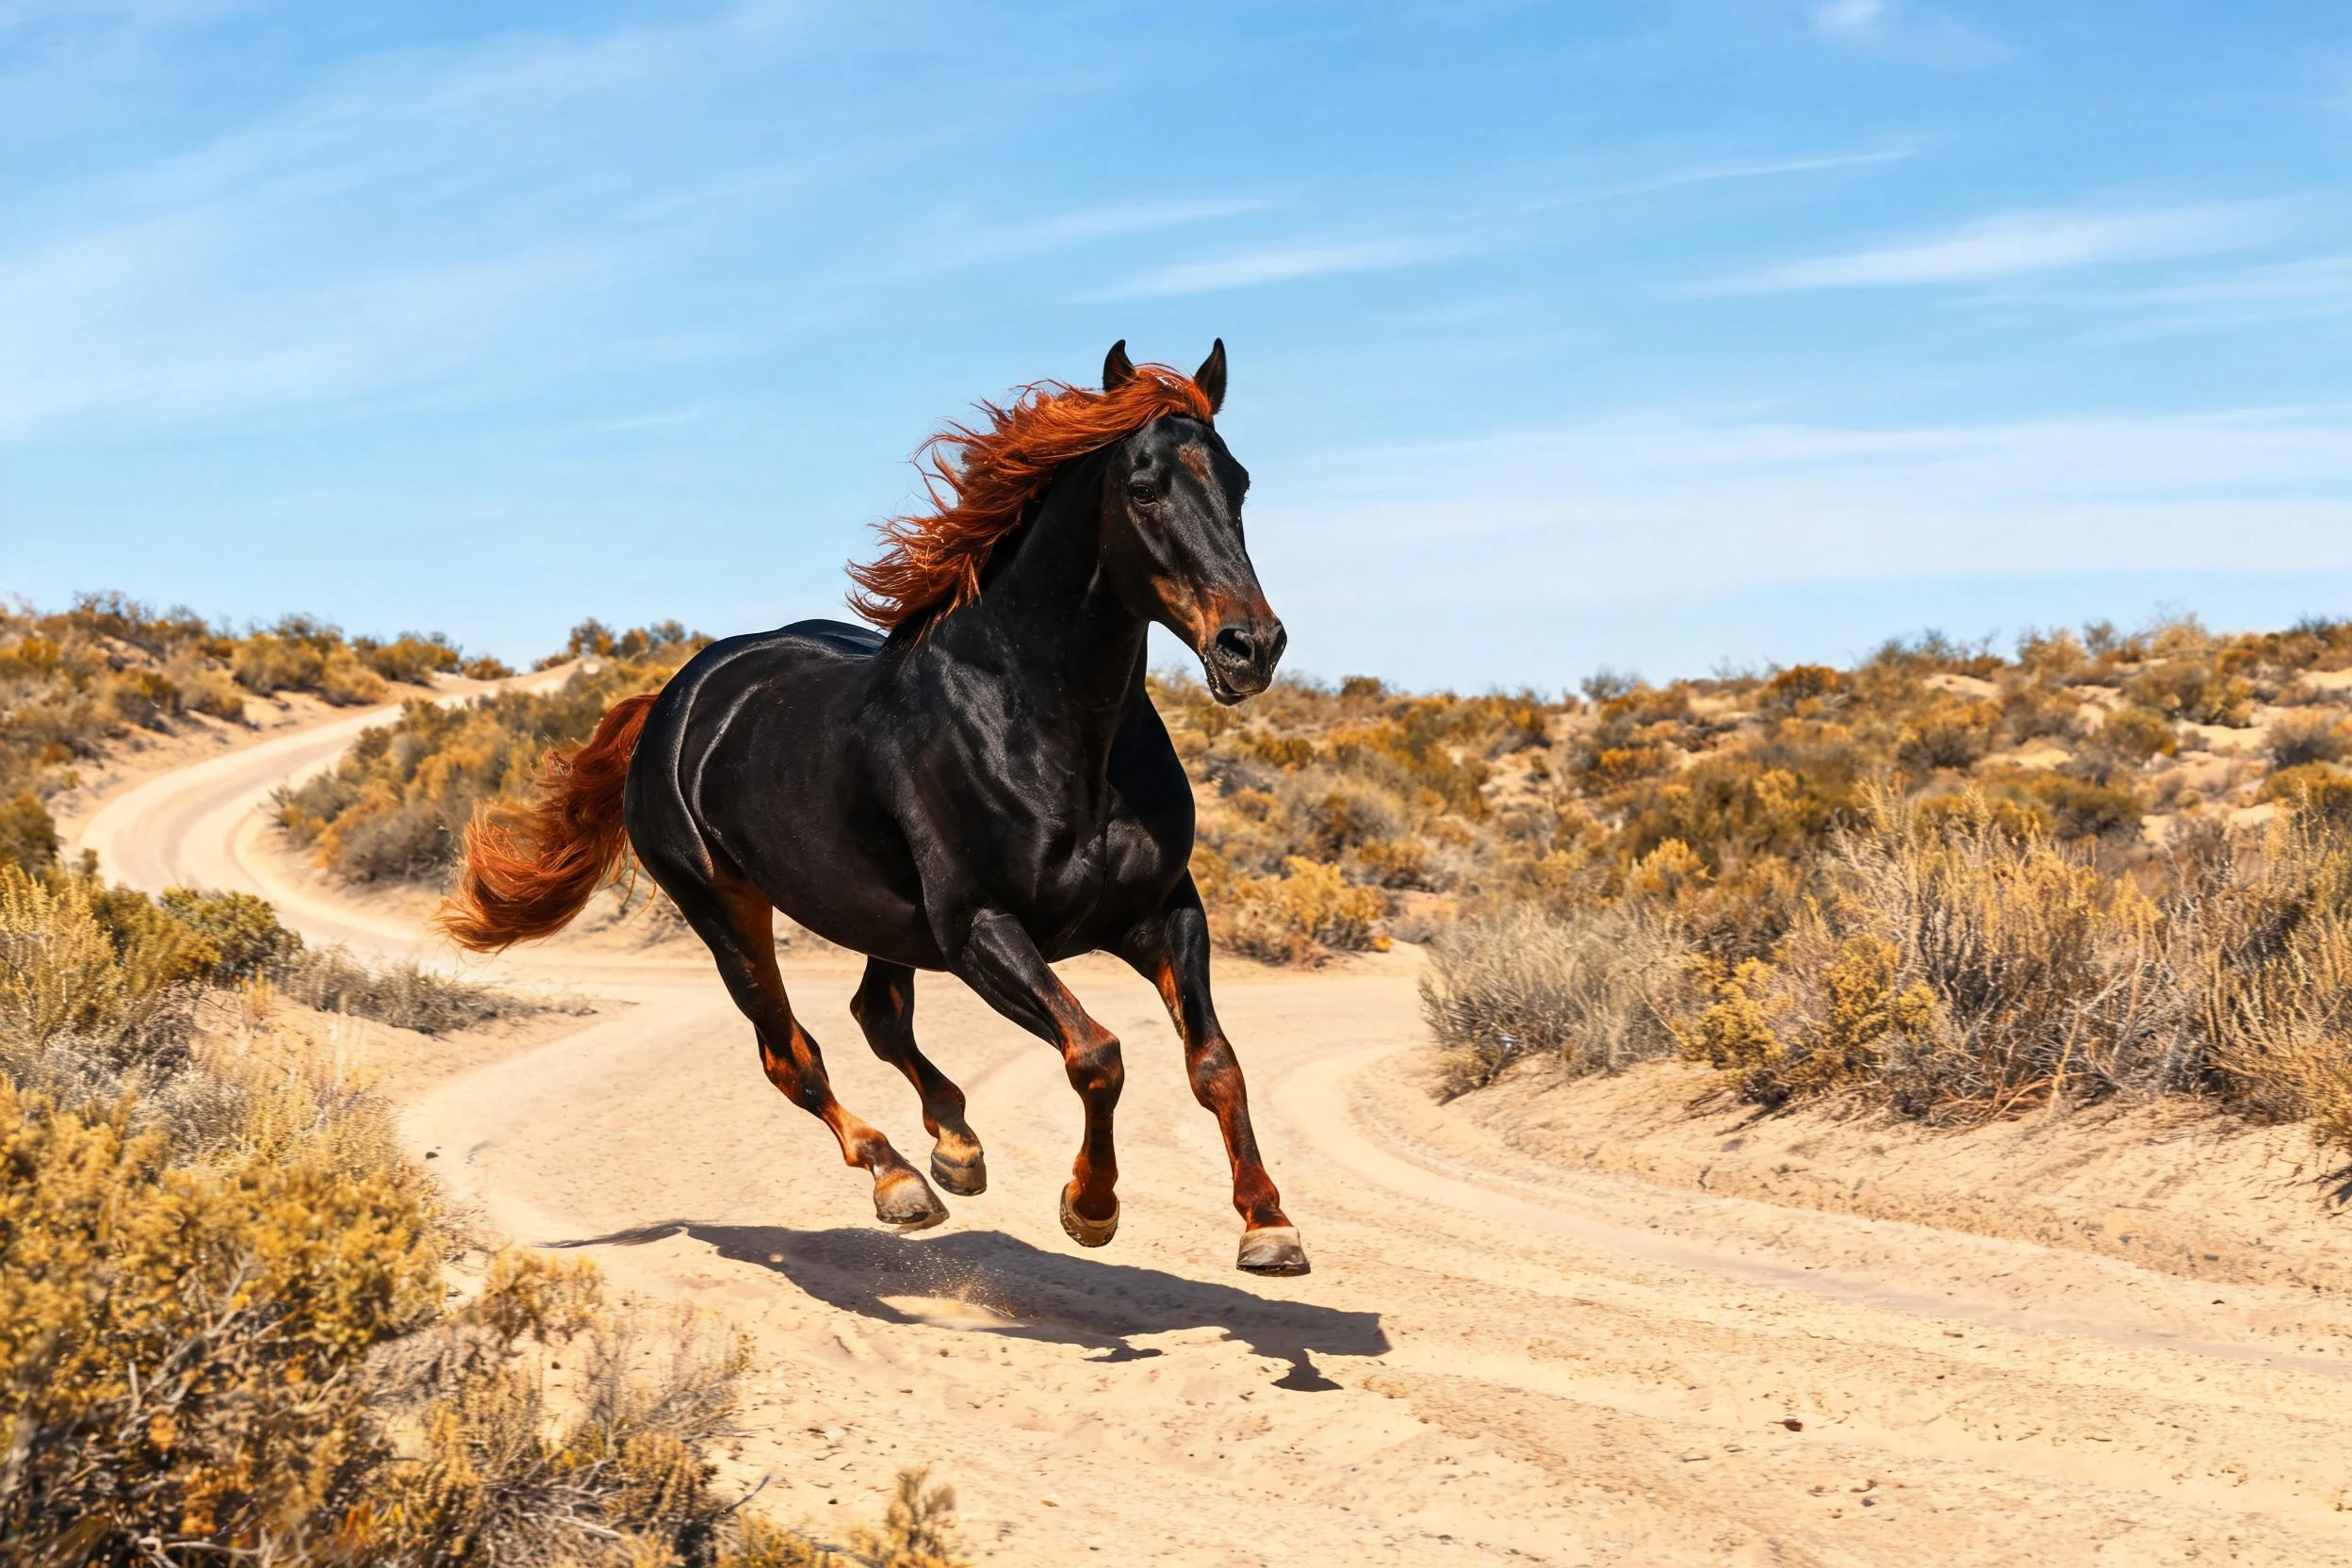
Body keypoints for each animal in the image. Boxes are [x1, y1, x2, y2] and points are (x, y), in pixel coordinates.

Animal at [439, 341, 1308, 1276]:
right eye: (1145, 488)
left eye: (1239, 483)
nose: (1250, 646)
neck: (1049, 728)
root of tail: (671, 700)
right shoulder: (981, 930)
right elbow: (1097, 1054)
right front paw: (1091, 1206)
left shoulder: (1162, 911)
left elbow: (1214, 1061)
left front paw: (1269, 1224)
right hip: (727, 911)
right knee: (791, 1054)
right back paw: (899, 1179)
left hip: (882, 920)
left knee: (877, 1018)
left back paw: (955, 1147)